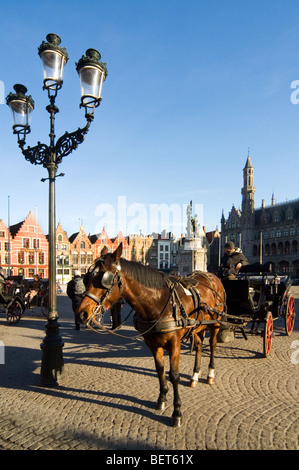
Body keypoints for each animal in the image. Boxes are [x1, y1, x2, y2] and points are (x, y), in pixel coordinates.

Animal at [76, 244, 226, 428]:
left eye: (104, 280)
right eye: (87, 278)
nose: (81, 313)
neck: (158, 302)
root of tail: (212, 276)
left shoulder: (175, 344)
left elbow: (174, 375)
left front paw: (177, 413)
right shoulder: (152, 343)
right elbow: (159, 369)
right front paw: (161, 399)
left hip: (216, 323)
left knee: (212, 345)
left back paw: (210, 374)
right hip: (198, 327)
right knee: (198, 346)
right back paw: (194, 376)